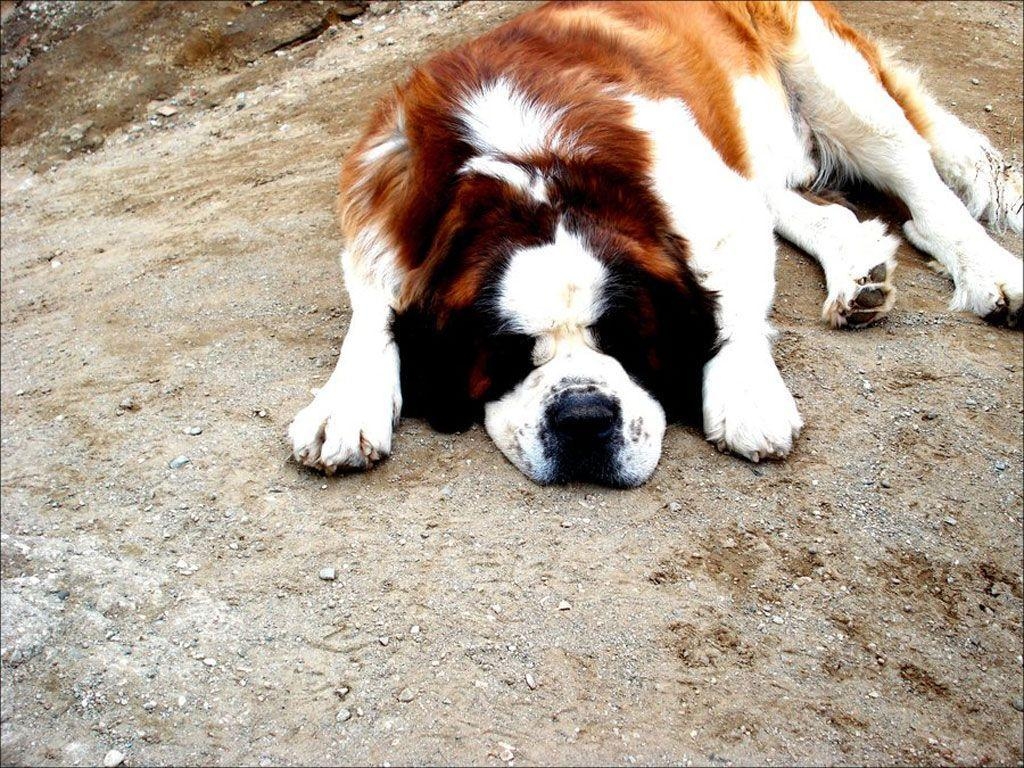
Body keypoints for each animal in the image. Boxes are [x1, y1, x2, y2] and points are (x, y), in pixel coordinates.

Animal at [286, 1, 1024, 487]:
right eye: (512, 356)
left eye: (626, 342)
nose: (583, 415)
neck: (535, 172)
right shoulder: (380, 210)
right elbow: (373, 312)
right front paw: (344, 403)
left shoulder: (710, 201)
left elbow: (732, 306)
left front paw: (746, 393)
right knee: (802, 202)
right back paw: (856, 270)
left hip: (833, 78)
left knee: (926, 190)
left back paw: (991, 272)